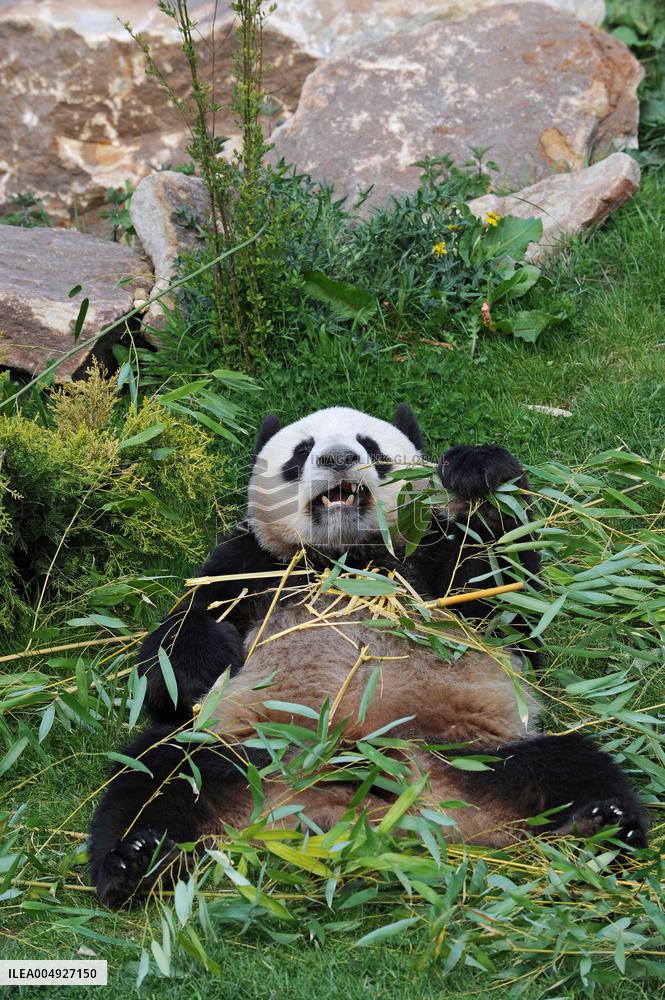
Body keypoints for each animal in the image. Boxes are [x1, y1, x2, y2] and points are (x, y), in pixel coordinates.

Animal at [89, 405, 648, 908]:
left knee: (572, 763)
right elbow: (169, 665)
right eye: (302, 451)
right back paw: (133, 862)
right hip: (250, 755)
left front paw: (477, 476)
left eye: (371, 448)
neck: (345, 559)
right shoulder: (250, 564)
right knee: (154, 773)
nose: (338, 458)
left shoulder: (423, 562)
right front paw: (202, 666)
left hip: (471, 752)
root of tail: (349, 813)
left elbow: (504, 600)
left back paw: (599, 823)